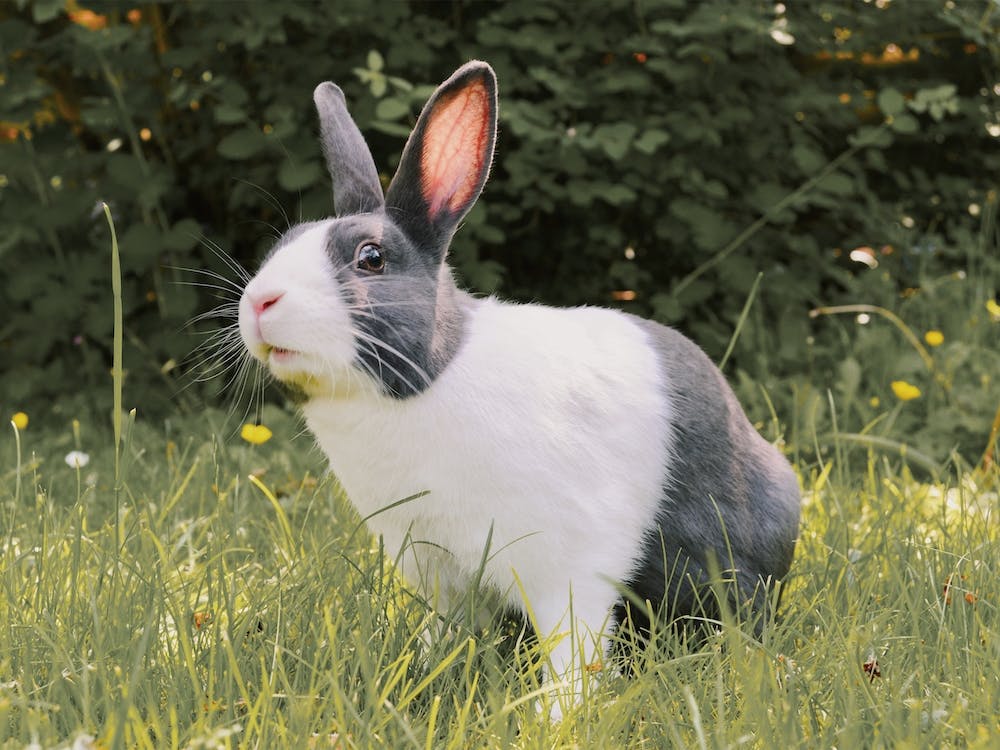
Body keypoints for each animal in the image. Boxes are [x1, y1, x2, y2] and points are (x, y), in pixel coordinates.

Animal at [237, 60, 801, 717]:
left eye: (370, 258)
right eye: (282, 244)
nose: (259, 302)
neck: (428, 383)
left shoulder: (569, 565)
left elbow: (573, 647)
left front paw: (559, 717)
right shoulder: (438, 569)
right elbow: (445, 634)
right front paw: (420, 678)